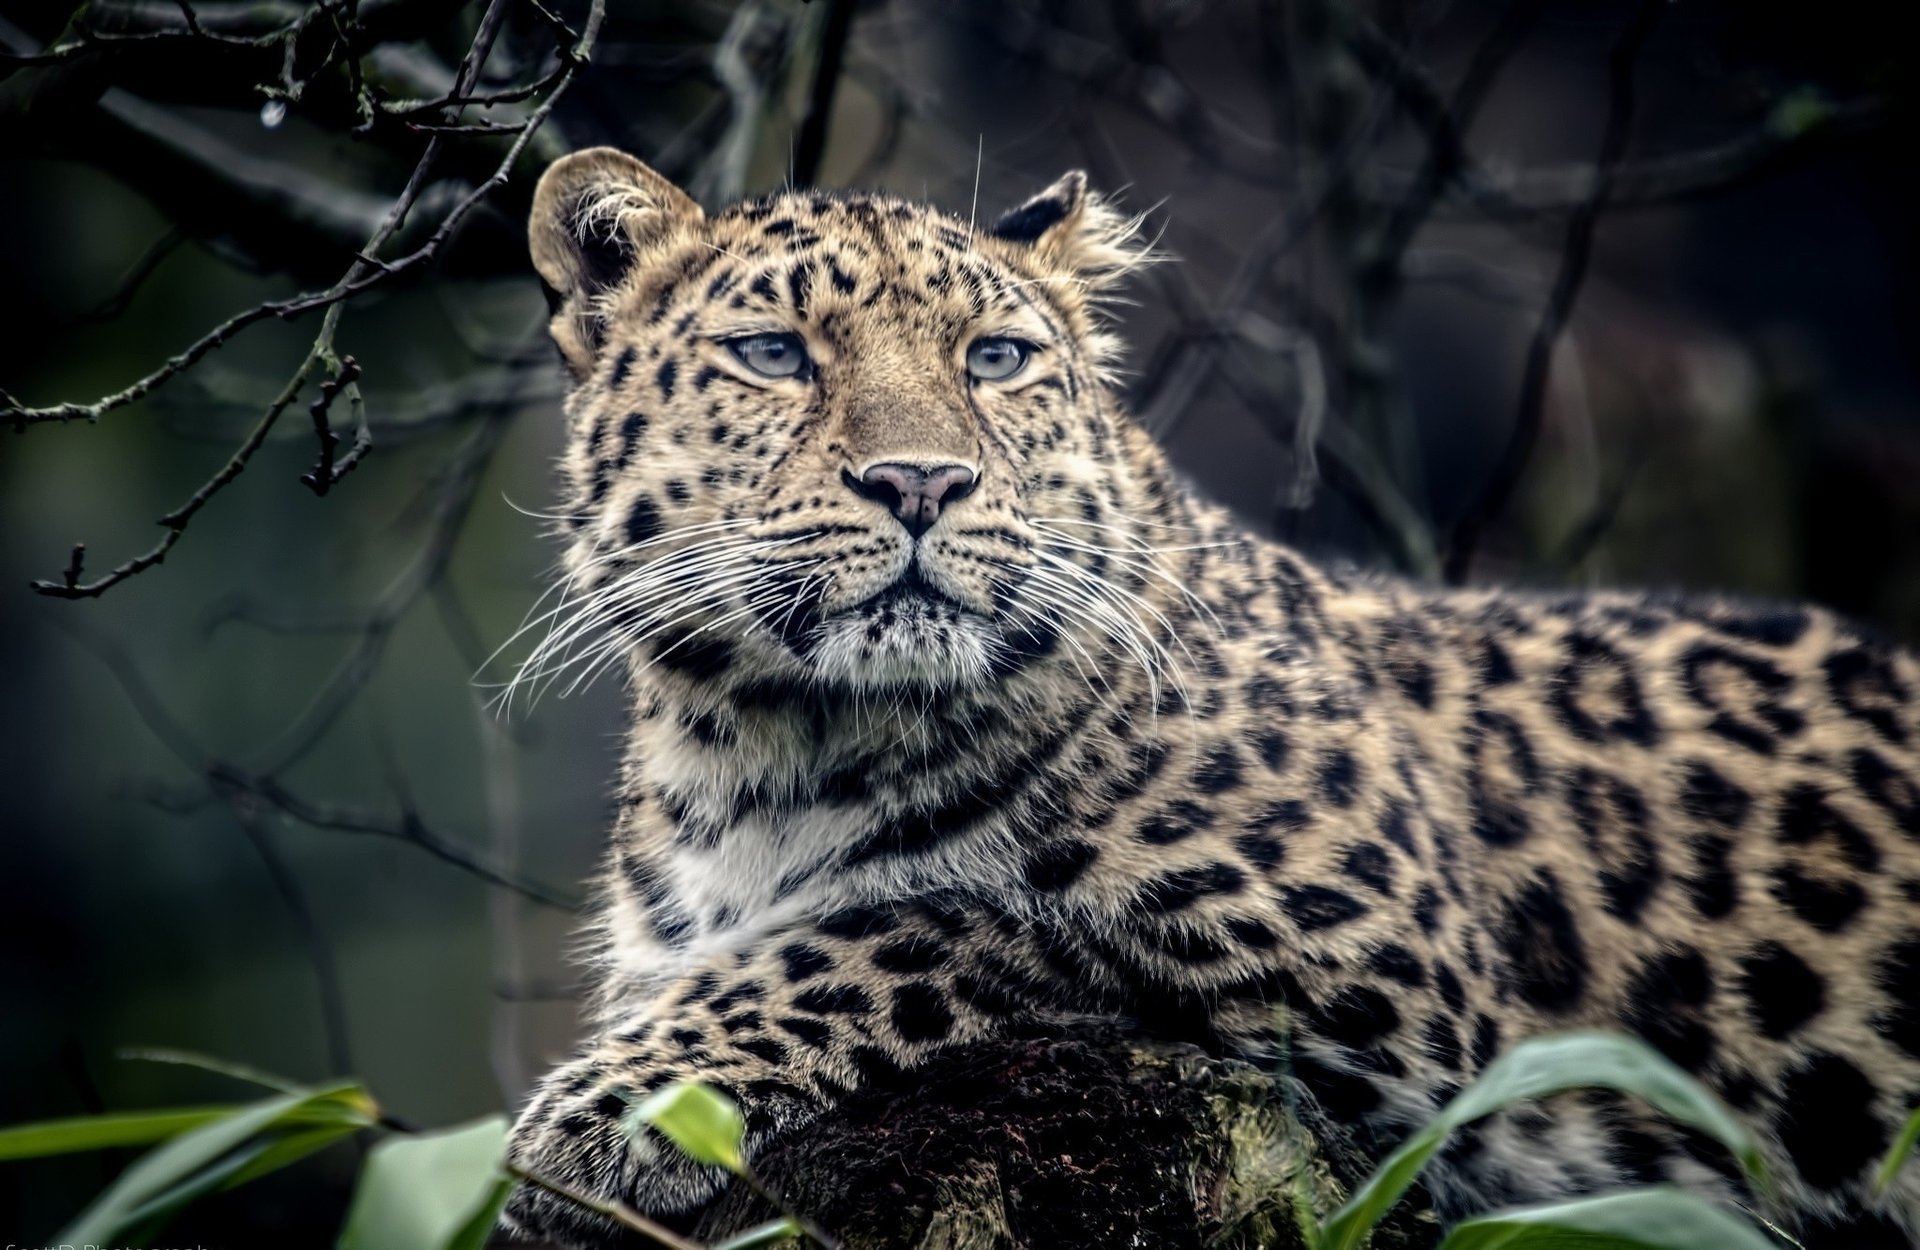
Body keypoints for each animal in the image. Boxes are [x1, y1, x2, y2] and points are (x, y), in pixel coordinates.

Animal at [500, 145, 1920, 1249]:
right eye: (772, 354)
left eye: (996, 357)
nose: (921, 482)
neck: (774, 745)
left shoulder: (1384, 979)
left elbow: (921, 919)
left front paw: (597, 1116)